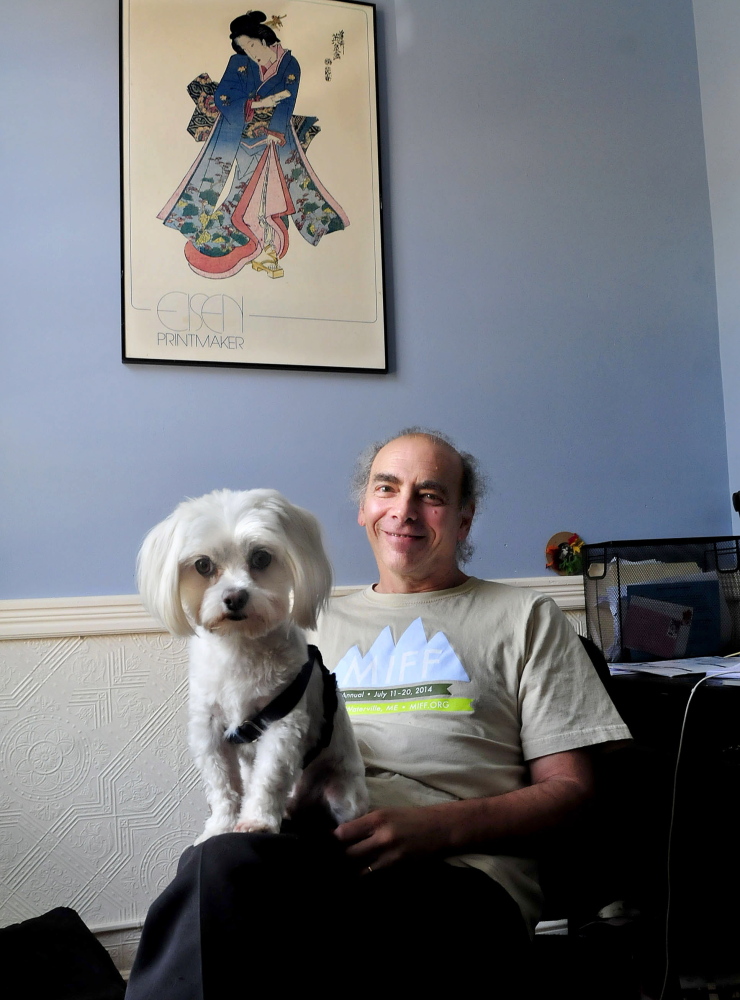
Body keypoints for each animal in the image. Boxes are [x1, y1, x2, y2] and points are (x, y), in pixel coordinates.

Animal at [136, 488, 368, 840]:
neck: (239, 646)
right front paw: (220, 826)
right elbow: (222, 785)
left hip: (342, 792)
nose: (235, 598)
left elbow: (269, 778)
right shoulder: (210, 728)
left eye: (261, 558)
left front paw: (257, 821)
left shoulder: (283, 722)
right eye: (202, 565)